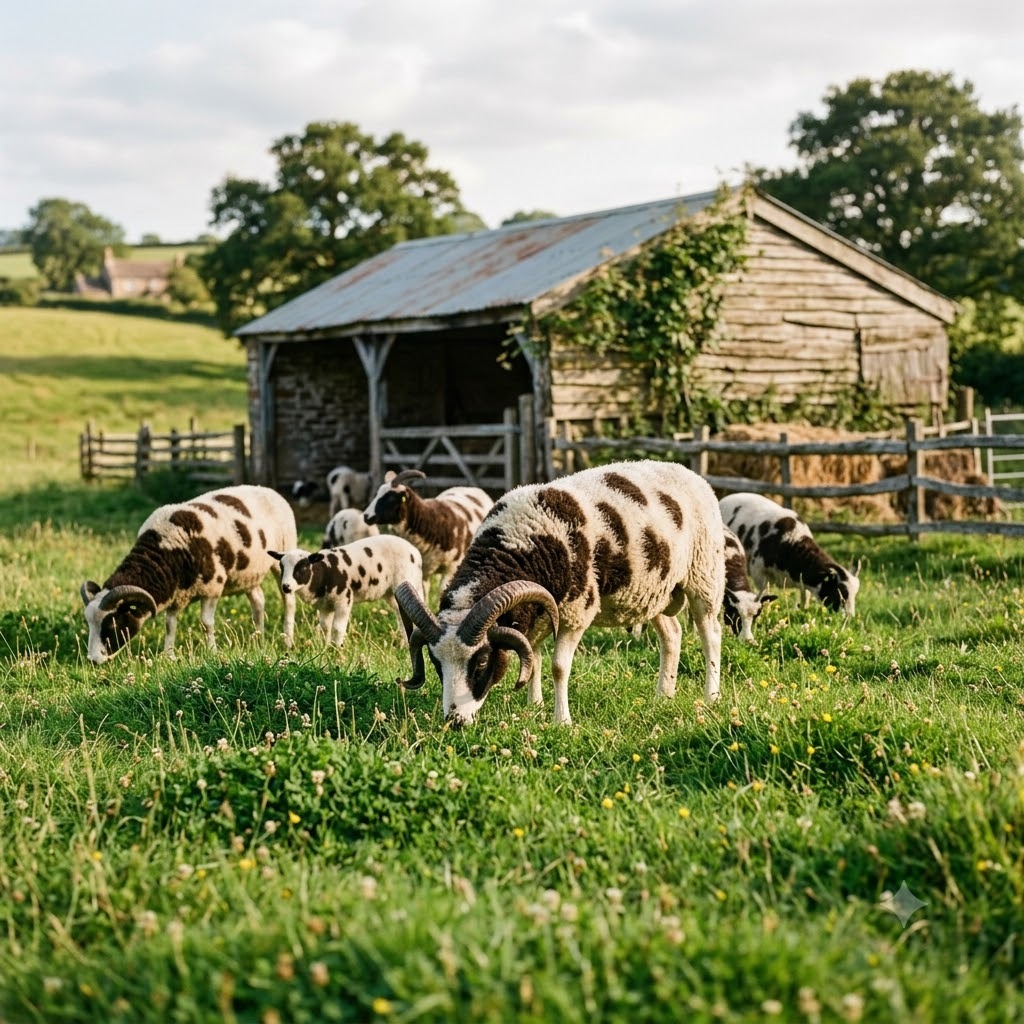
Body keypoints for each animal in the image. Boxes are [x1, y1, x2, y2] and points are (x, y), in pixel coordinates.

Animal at [81, 485, 297, 664]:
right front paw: (168, 656)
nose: (93, 660)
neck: (166, 551)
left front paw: (212, 653)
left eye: (112, 624)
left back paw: (287, 641)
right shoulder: (177, 595)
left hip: (283, 558)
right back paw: (259, 641)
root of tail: (269, 490)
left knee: (288, 601)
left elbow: (206, 623)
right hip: (249, 574)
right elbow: (170, 624)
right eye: (89, 624)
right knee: (258, 602)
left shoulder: (212, 588)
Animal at [269, 535, 425, 648]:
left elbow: (337, 628)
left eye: (302, 568)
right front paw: (326, 648)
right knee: (400, 616)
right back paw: (404, 645)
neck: (323, 572)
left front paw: (337, 649)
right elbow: (325, 628)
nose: (286, 587)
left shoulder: (344, 599)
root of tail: (415, 552)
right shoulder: (325, 606)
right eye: (281, 567)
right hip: (392, 593)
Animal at [362, 470, 493, 601]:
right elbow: (425, 592)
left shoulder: (451, 567)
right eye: (377, 494)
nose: (366, 516)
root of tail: (470, 488)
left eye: (390, 498)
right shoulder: (424, 570)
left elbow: (442, 590)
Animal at [393, 459, 725, 727]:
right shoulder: (538, 611)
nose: (455, 721)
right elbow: (533, 658)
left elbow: (557, 667)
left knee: (710, 635)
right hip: (654, 592)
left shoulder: (576, 613)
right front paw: (534, 706)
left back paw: (712, 697)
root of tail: (689, 473)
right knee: (672, 634)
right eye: (436, 662)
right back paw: (663, 695)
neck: (522, 542)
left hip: (704, 577)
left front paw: (561, 721)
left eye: (483, 661)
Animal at [719, 492, 860, 616]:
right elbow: (764, 594)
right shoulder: (759, 572)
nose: (849, 618)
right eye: (840, 593)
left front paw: (803, 610)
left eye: (854, 595)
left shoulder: (802, 580)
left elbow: (805, 596)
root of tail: (727, 497)